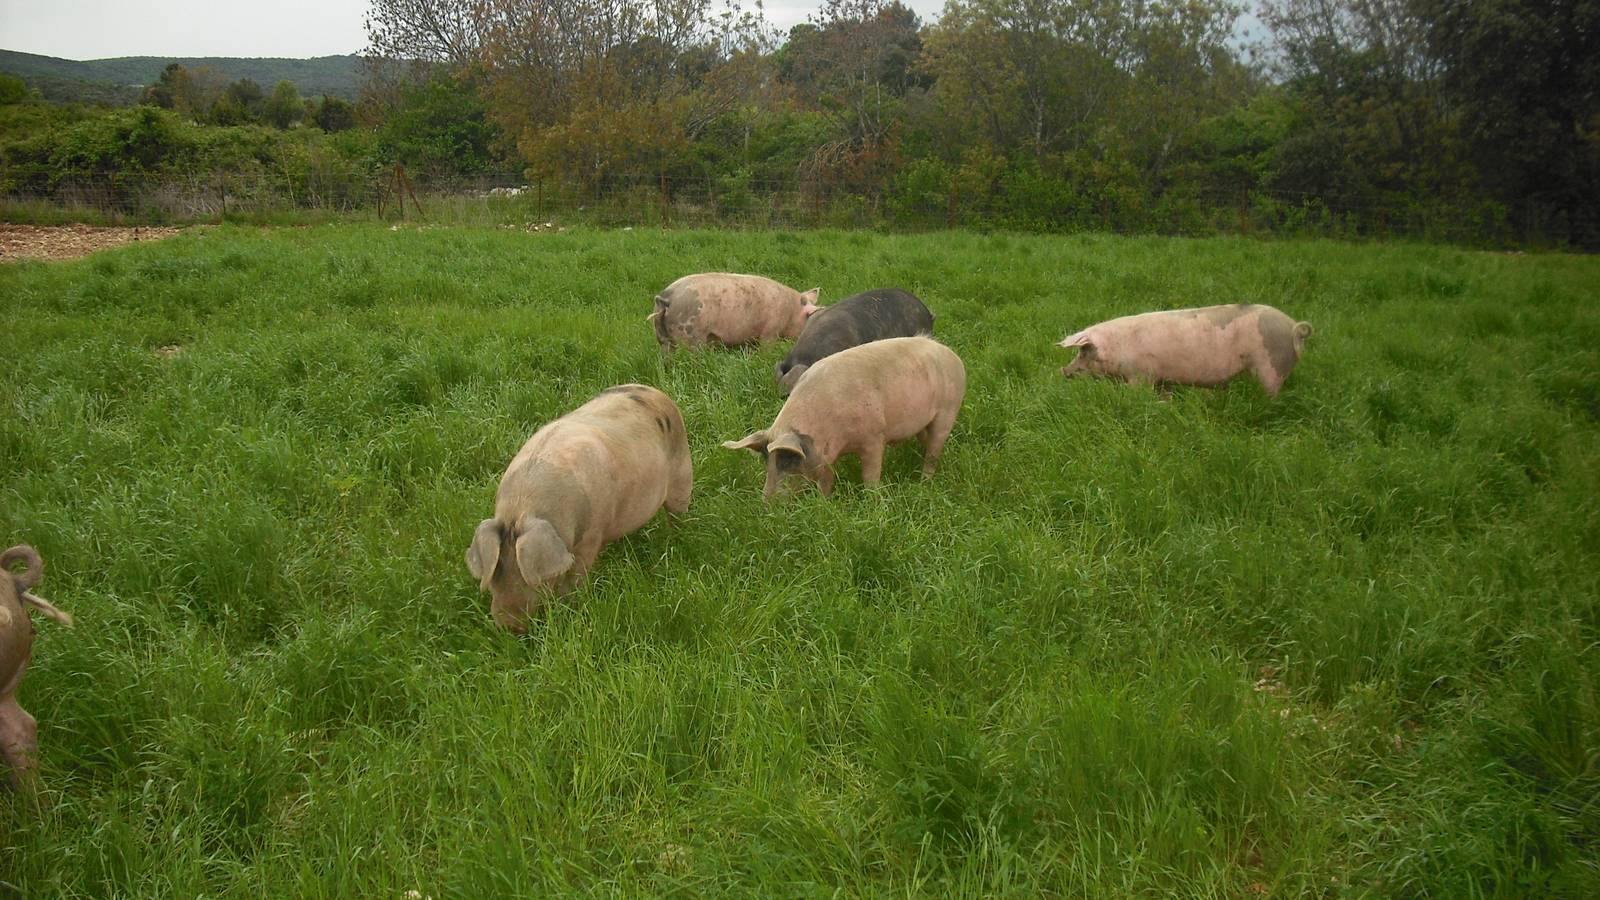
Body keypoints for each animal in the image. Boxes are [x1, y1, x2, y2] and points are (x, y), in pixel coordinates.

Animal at [467, 385, 692, 633]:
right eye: (496, 571)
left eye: (526, 574)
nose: (509, 626)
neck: (521, 508)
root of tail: (654, 391)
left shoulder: (590, 537)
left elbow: (575, 578)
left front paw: (570, 608)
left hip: (683, 473)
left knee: (677, 514)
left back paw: (677, 539)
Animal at [649, 273, 821, 350]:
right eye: (809, 317)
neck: (791, 311)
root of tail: (666, 299)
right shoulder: (770, 331)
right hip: (690, 335)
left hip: (662, 336)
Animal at [724, 336, 965, 499]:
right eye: (767, 463)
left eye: (788, 462)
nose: (767, 504)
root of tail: (953, 355)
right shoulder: (827, 455)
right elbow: (826, 479)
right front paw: (824, 501)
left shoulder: (874, 437)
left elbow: (870, 476)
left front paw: (873, 501)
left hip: (948, 409)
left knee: (934, 449)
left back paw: (925, 482)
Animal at [1057, 303, 1313, 397]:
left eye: (1083, 351)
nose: (1064, 371)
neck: (1117, 347)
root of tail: (1294, 328)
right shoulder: (1161, 378)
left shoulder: (1141, 375)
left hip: (1270, 368)